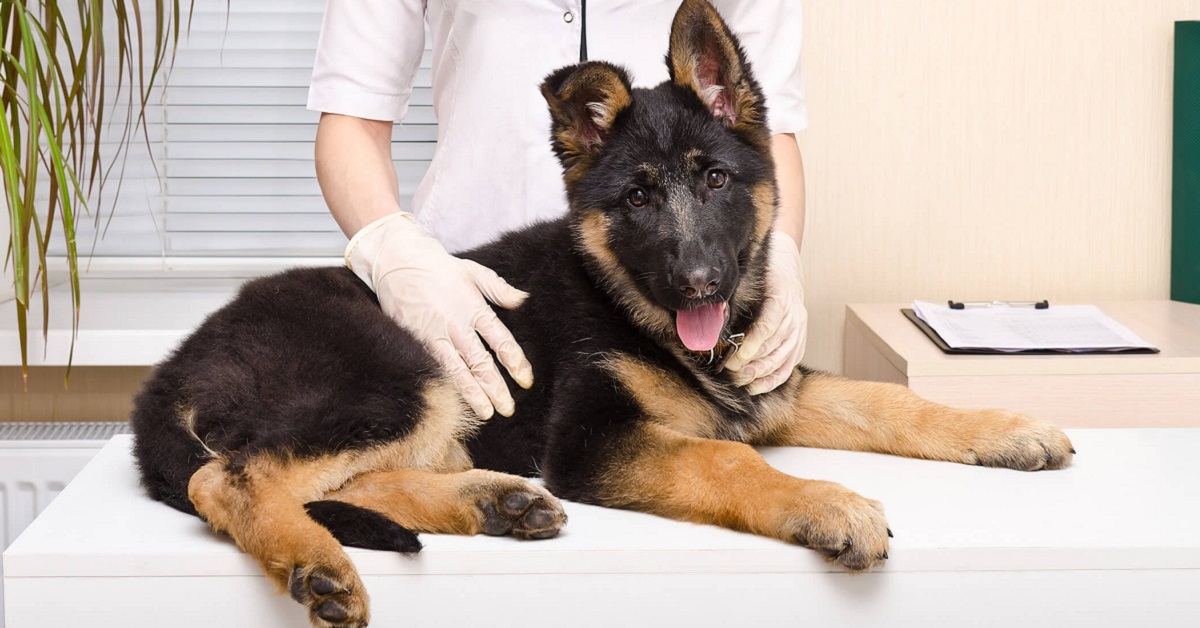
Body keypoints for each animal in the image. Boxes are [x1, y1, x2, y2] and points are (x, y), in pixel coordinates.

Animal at [133, 2, 1080, 624]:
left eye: (715, 179)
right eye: (636, 199)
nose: (698, 283)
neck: (630, 305)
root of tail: (172, 370)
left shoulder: (769, 387)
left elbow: (888, 399)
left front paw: (1005, 428)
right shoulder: (592, 440)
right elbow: (728, 462)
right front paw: (826, 502)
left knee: (339, 479)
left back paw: (492, 504)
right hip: (402, 369)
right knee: (232, 478)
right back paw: (316, 560)